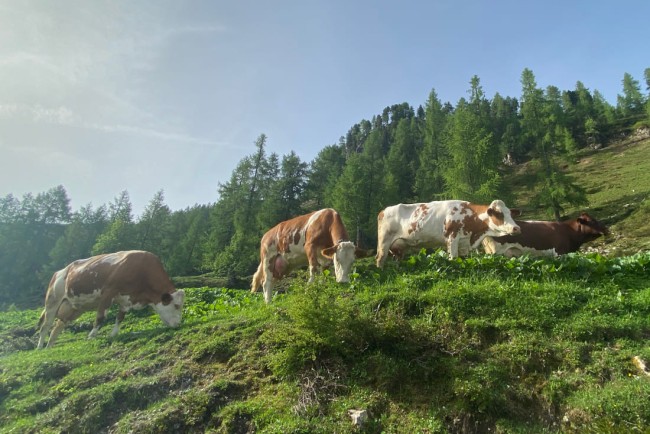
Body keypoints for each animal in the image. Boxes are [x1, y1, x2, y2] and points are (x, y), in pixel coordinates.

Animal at [37, 250, 185, 349]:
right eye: (176, 305)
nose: (178, 324)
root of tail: (60, 271)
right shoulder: (108, 293)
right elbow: (100, 317)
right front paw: (91, 336)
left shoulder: (126, 299)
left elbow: (120, 317)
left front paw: (113, 334)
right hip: (52, 301)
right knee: (46, 325)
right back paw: (40, 348)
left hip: (74, 308)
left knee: (57, 327)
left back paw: (49, 347)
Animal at [376, 199, 521, 268]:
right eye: (499, 214)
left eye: (510, 213)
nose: (516, 228)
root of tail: (383, 210)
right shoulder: (452, 238)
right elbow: (453, 258)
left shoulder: (463, 242)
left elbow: (463, 259)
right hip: (384, 241)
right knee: (380, 258)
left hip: (399, 247)